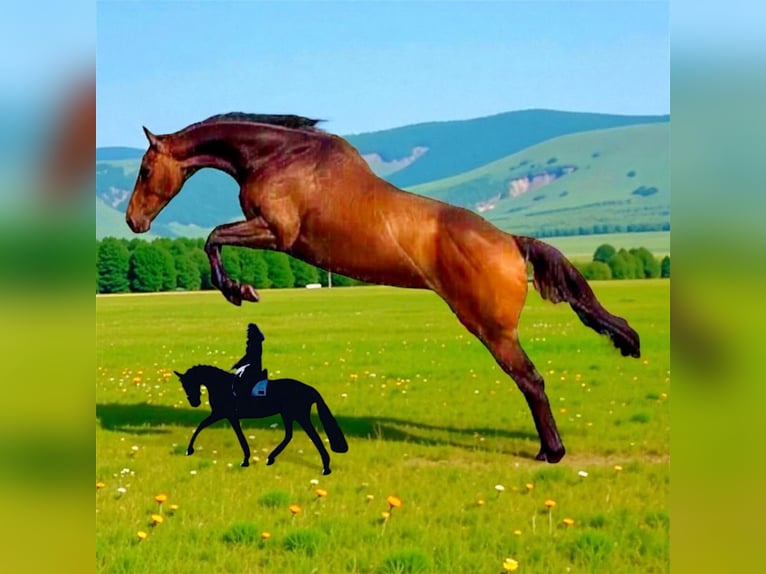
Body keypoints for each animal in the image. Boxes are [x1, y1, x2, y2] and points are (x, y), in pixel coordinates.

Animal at [129, 113, 641, 463]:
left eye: (145, 170)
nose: (134, 220)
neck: (279, 157)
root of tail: (512, 242)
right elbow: (214, 238)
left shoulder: (276, 231)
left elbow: (213, 237)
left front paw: (239, 290)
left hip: (492, 330)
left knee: (531, 380)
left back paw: (551, 452)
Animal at [174, 364, 349, 475]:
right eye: (184, 385)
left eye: (188, 384)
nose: (194, 402)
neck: (222, 385)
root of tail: (308, 388)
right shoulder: (228, 416)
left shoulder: (223, 414)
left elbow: (201, 426)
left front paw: (189, 450)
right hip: (288, 415)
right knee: (289, 435)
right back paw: (271, 458)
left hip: (299, 416)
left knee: (314, 437)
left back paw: (326, 468)